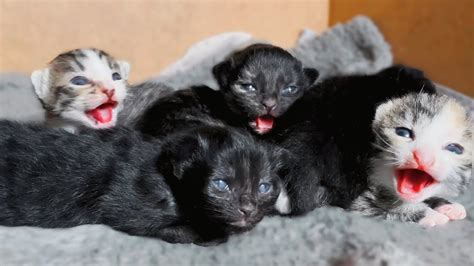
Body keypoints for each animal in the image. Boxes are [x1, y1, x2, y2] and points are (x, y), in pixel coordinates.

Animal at [350, 93, 472, 227]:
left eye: (455, 149)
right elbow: (381, 204)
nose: (423, 158)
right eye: (403, 132)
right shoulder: (355, 197)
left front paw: (446, 205)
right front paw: (429, 214)